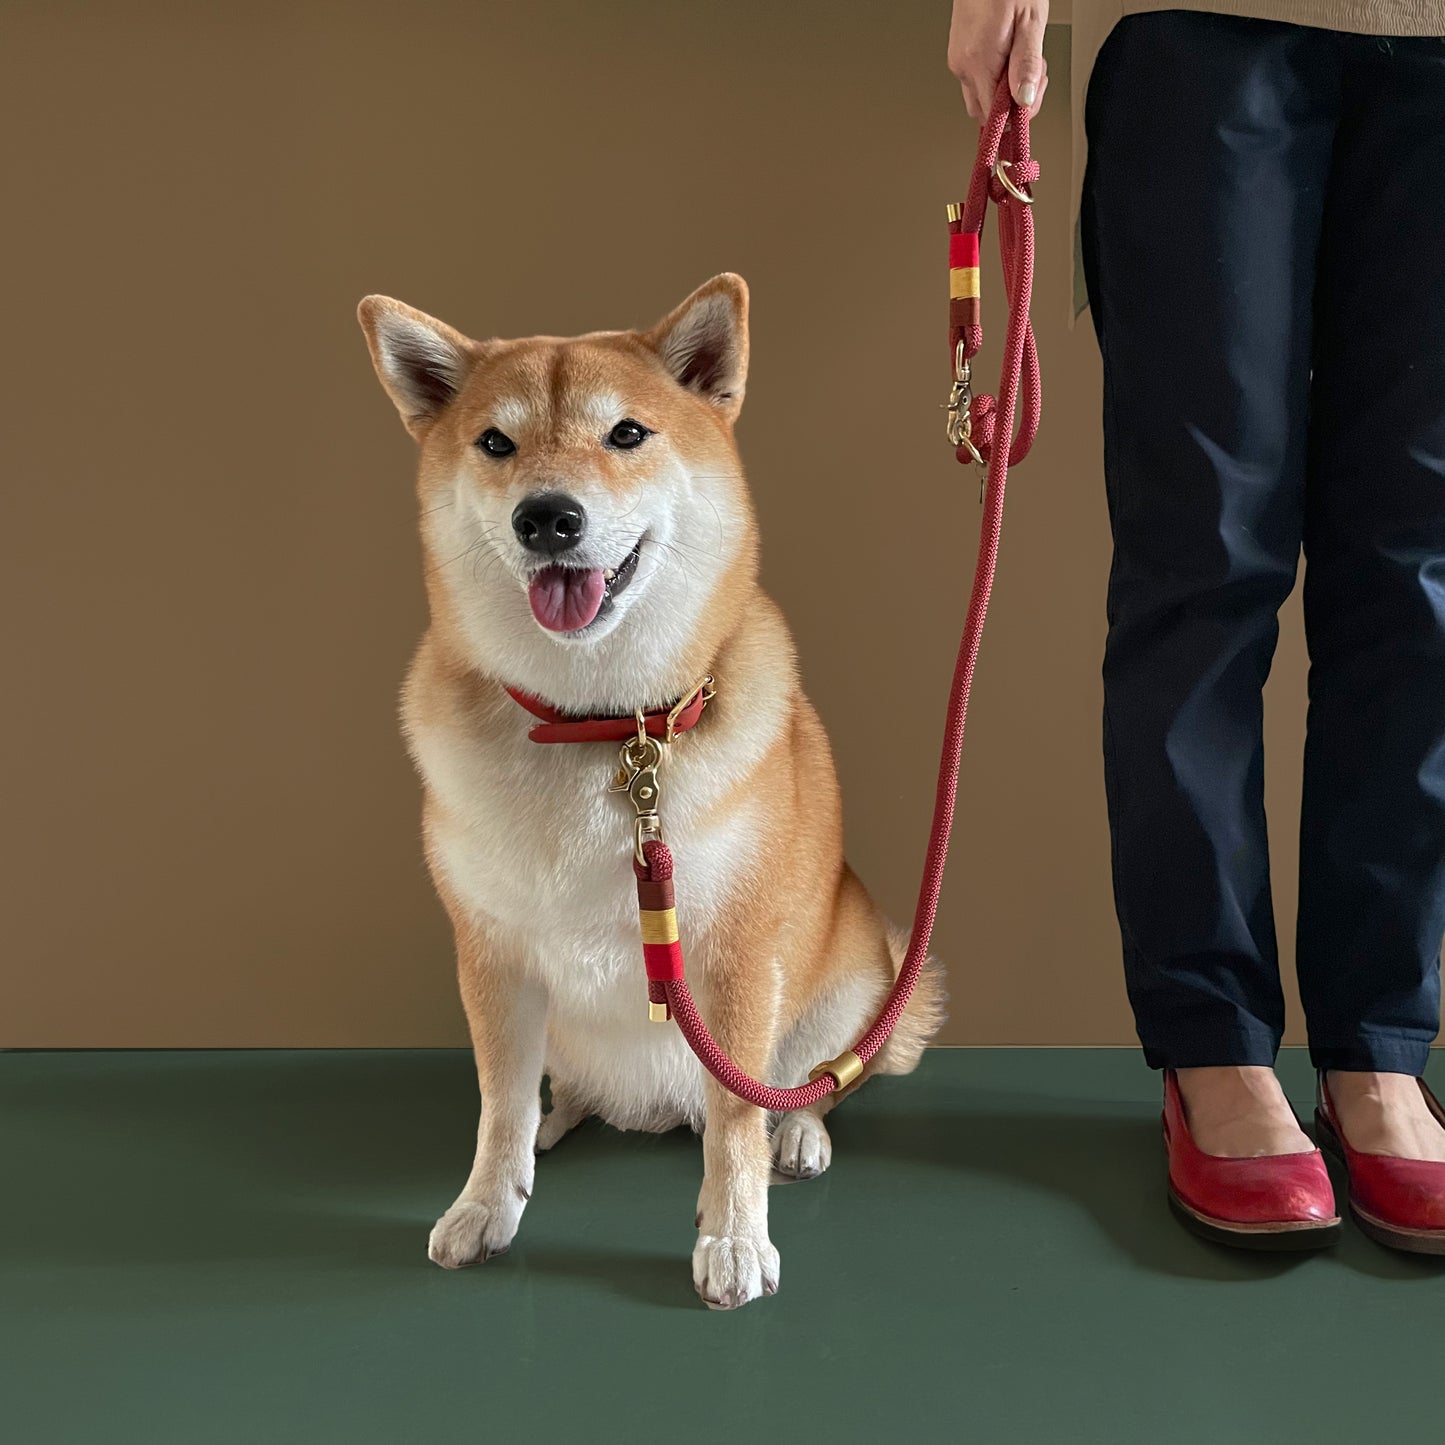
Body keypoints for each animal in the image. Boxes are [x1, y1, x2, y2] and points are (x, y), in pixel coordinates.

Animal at [358, 273, 947, 1312]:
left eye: (626, 433)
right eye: (496, 443)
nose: (547, 516)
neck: (600, 725)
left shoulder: (736, 955)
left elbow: (739, 1118)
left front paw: (735, 1235)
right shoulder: (491, 953)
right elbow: (496, 1102)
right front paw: (487, 1201)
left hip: (856, 976)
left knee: (812, 1078)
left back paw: (799, 1132)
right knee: (550, 1087)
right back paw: (564, 1114)